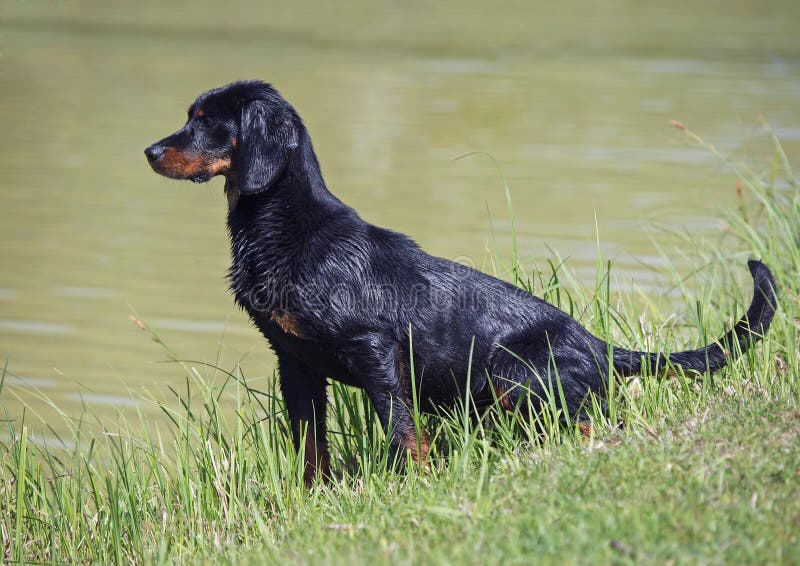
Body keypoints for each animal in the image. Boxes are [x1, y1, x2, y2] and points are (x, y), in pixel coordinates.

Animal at [144, 82, 776, 486]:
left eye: (208, 121)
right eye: (189, 115)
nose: (149, 150)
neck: (288, 228)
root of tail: (601, 346)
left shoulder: (375, 350)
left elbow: (400, 431)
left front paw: (410, 487)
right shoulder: (294, 362)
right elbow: (311, 447)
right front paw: (313, 500)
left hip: (510, 372)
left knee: (598, 420)